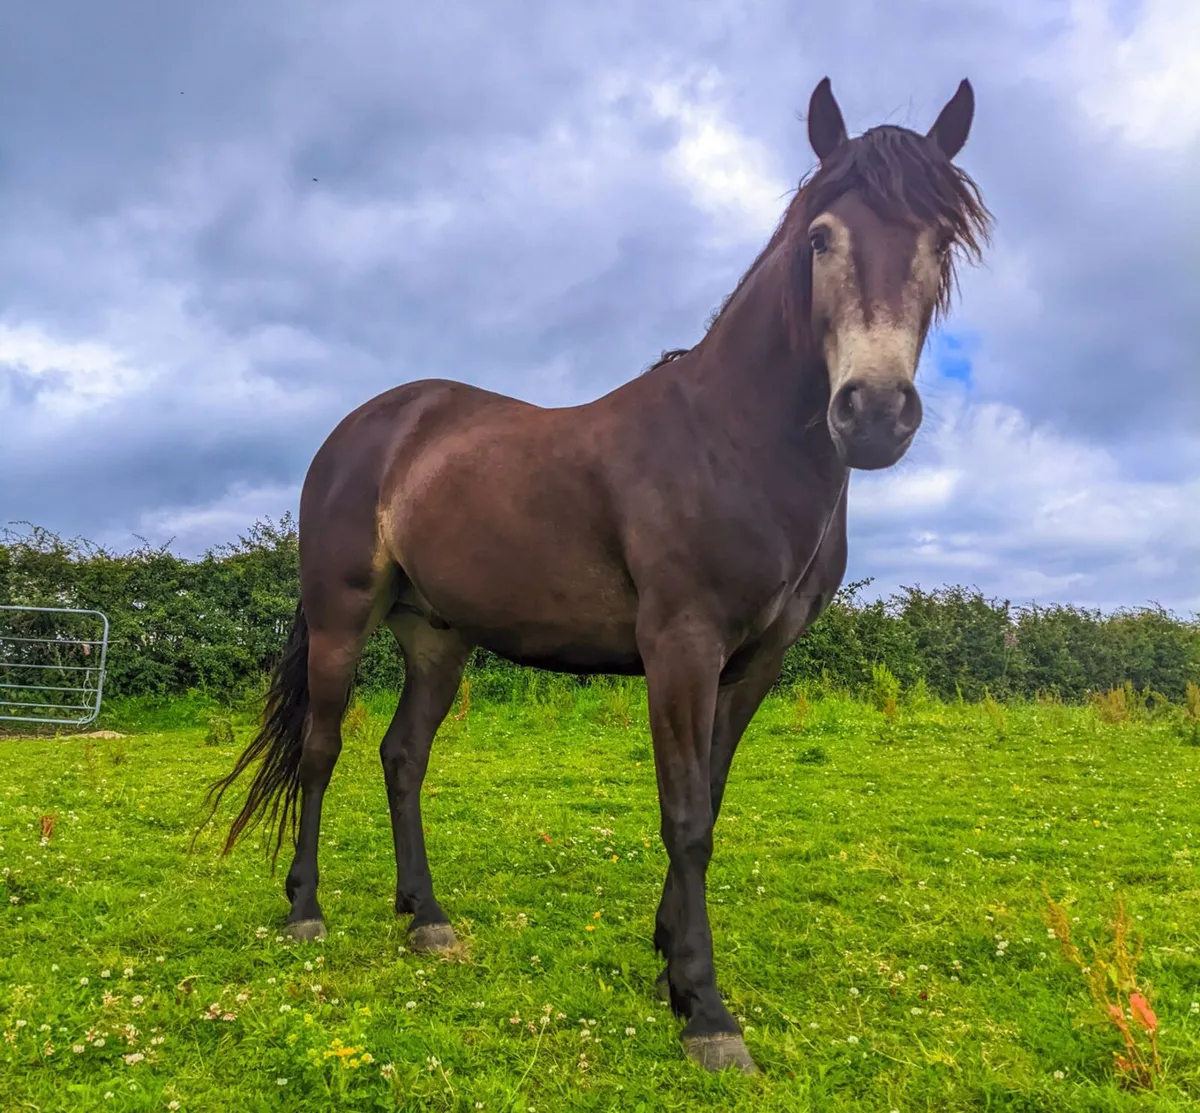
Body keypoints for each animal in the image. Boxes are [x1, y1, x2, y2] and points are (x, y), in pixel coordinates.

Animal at [201, 76, 992, 1075]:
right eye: (822, 238)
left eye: (941, 244)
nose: (876, 413)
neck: (732, 440)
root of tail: (365, 427)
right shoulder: (681, 649)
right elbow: (685, 815)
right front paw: (707, 1012)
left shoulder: (756, 663)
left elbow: (710, 802)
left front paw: (669, 965)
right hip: (342, 621)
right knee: (321, 750)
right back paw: (306, 909)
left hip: (437, 639)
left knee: (402, 756)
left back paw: (427, 918)